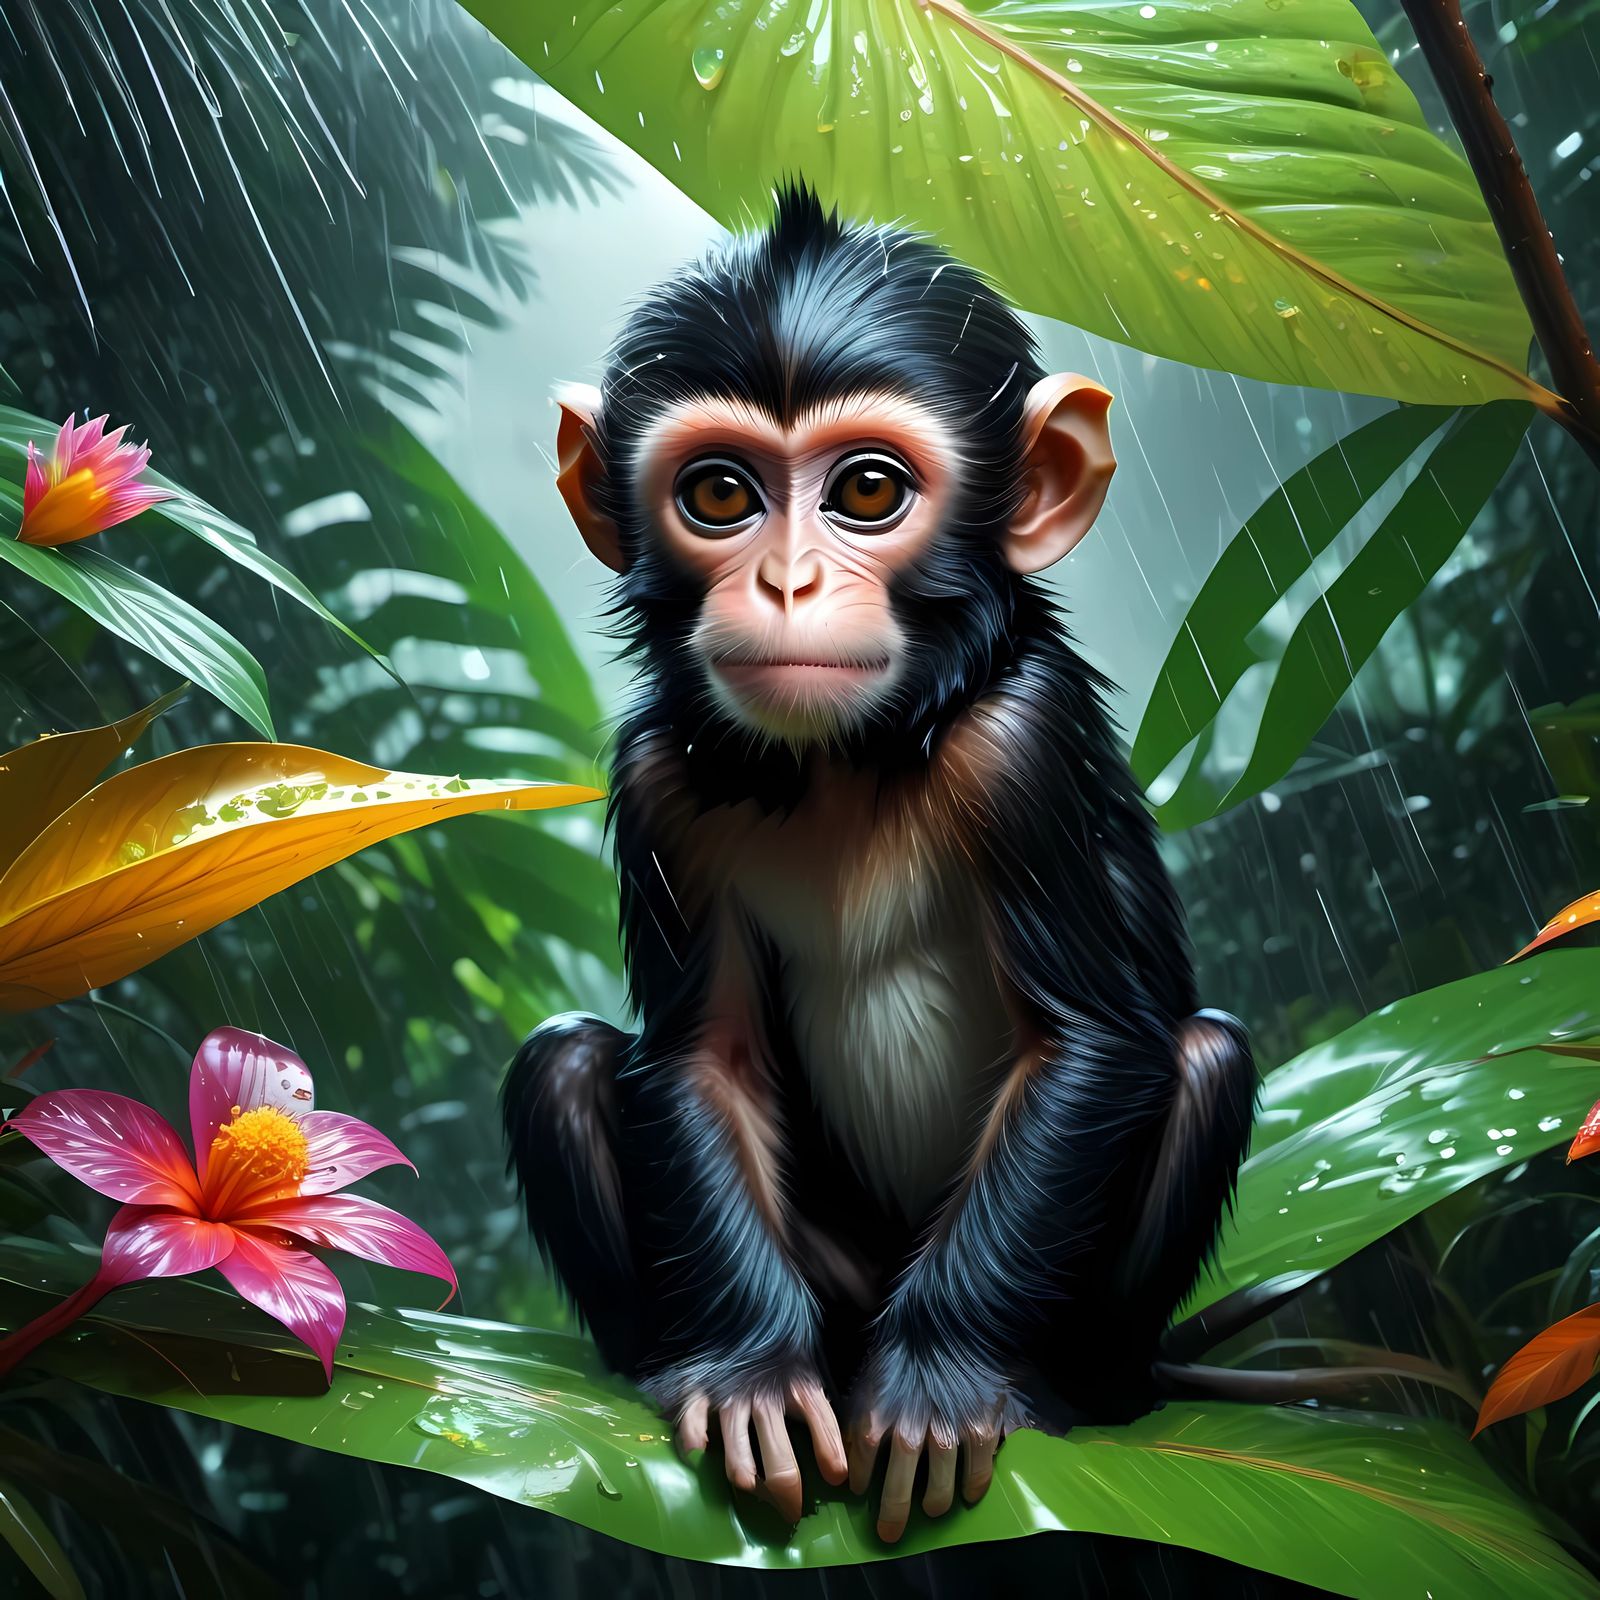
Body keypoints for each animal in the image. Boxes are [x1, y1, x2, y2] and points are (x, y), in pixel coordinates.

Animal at [502, 183, 1255, 1544]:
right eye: (718, 495)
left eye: (864, 490)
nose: (788, 581)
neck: (849, 756)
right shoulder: (658, 781)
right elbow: (700, 1056)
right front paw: (750, 1373)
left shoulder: (1025, 742)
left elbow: (1087, 1042)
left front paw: (941, 1384)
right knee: (567, 1065)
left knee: (1203, 1059)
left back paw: (1065, 1391)